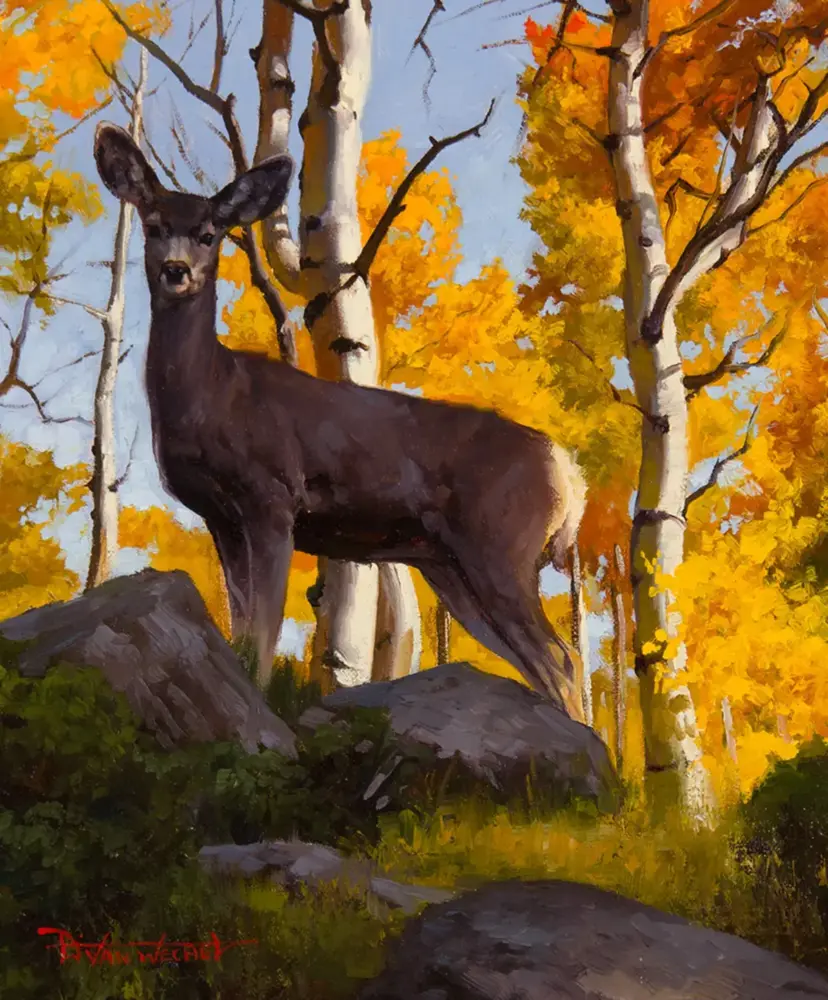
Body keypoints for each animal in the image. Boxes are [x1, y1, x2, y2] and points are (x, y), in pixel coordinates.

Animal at [93, 122, 588, 719]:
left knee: (562, 660)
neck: (214, 393)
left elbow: (261, 636)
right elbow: (239, 630)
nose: (176, 270)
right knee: (543, 664)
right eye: (154, 226)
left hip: (500, 546)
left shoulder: (272, 497)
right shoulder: (221, 518)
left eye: (210, 234)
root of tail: (571, 473)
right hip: (452, 568)